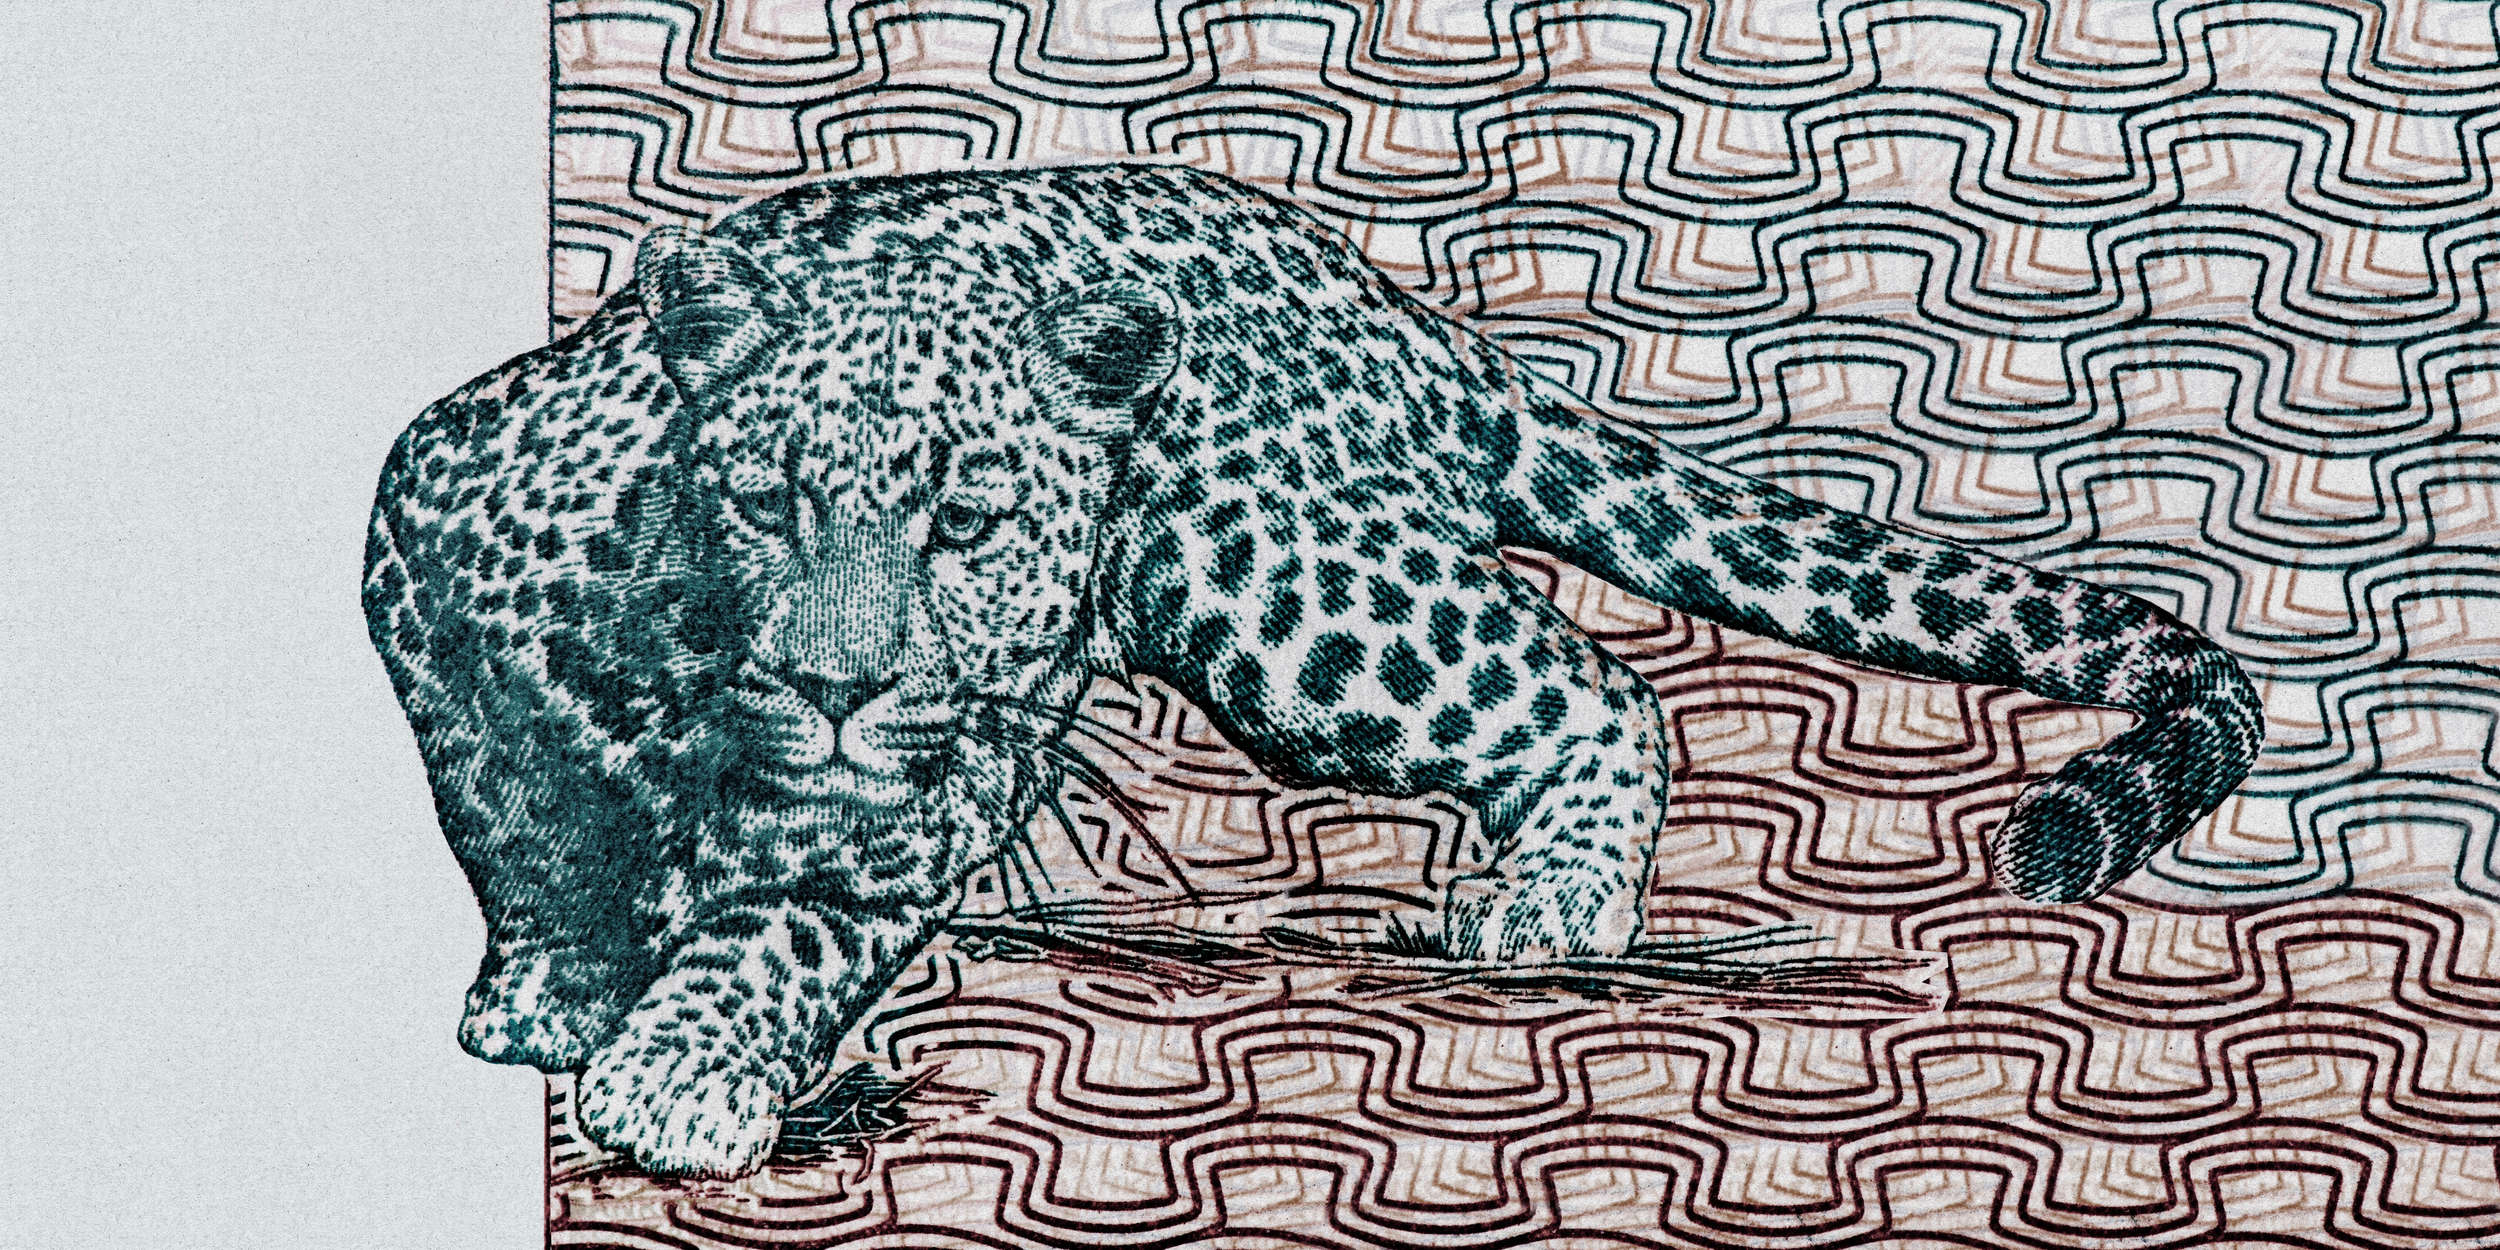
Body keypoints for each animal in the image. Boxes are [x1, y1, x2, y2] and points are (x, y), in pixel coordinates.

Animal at [364, 162, 2264, 1178]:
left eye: (968, 527)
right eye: (766, 501)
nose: (840, 690)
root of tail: (1396, 310)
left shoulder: (937, 773)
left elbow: (793, 922)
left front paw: (680, 1069)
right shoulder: (427, 590)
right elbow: (514, 823)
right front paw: (549, 987)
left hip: (1270, 571)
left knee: (1594, 687)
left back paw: (1553, 903)